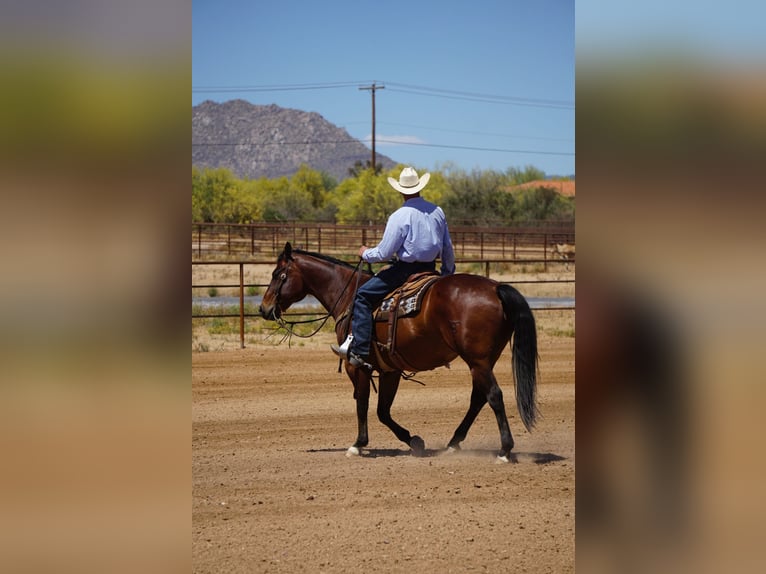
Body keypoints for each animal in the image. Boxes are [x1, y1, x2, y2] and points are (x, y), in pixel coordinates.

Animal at [258, 242, 539, 462]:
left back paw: (504, 451)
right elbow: (383, 410)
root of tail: (495, 289)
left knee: (494, 395)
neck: (349, 295)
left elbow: (363, 403)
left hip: (477, 361)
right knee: (478, 398)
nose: (264, 308)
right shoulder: (389, 370)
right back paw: (453, 443)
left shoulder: (356, 364)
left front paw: (358, 444)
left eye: (277, 274)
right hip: (483, 361)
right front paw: (413, 440)